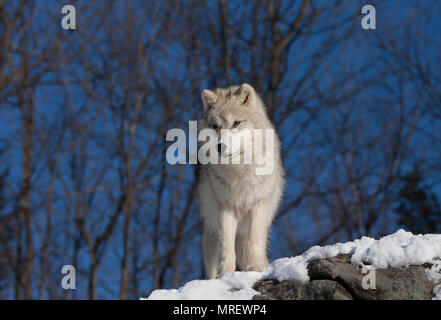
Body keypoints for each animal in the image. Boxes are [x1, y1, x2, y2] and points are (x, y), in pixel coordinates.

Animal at [198, 84, 284, 278]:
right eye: (215, 126)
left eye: (236, 123)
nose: (220, 146)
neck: (240, 171)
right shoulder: (226, 207)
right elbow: (227, 246)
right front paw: (225, 274)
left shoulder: (258, 205)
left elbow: (254, 240)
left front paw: (256, 267)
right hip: (211, 234)